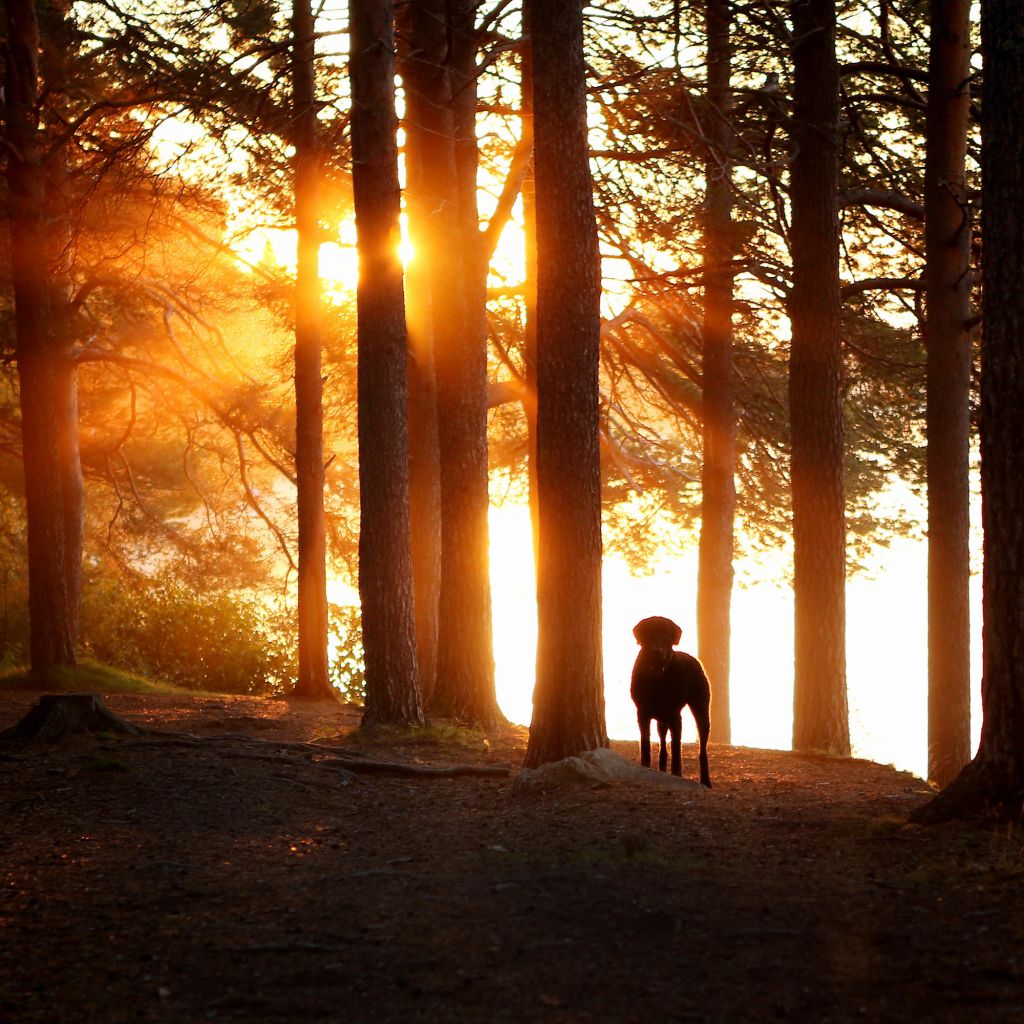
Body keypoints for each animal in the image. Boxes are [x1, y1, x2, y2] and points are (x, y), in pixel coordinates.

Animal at [626, 618, 708, 786]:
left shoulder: (674, 715)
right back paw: (662, 769)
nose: (656, 650)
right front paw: (645, 767)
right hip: (661, 719)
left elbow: (676, 747)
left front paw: (677, 773)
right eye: (649, 633)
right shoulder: (642, 713)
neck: (657, 676)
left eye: (666, 634)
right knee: (663, 742)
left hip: (701, 709)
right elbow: (645, 743)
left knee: (702, 748)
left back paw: (705, 780)